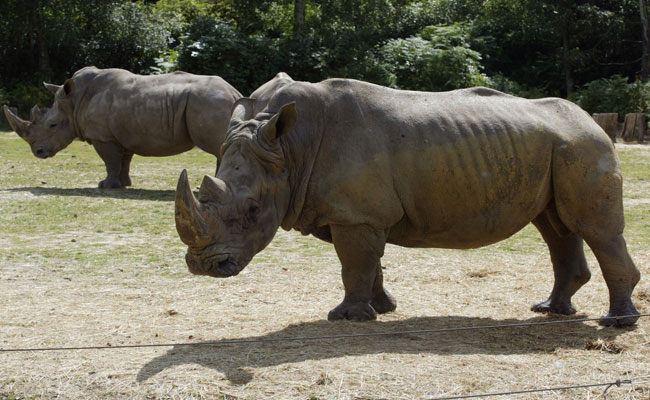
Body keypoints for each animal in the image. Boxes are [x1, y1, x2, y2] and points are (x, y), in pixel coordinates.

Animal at [3, 66, 242, 188]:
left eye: (52, 125)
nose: (38, 152)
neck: (74, 102)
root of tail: (234, 93)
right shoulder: (123, 133)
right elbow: (124, 161)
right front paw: (125, 184)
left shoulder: (103, 137)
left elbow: (110, 161)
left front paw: (105, 185)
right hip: (212, 103)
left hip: (209, 103)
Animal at [175, 79, 641, 326]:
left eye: (252, 210)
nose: (202, 267)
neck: (289, 149)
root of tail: (590, 118)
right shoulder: (359, 214)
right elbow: (369, 263)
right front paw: (381, 309)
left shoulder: (356, 215)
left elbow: (355, 264)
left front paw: (345, 317)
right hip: (560, 148)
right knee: (556, 227)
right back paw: (551, 311)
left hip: (584, 145)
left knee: (595, 230)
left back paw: (616, 323)